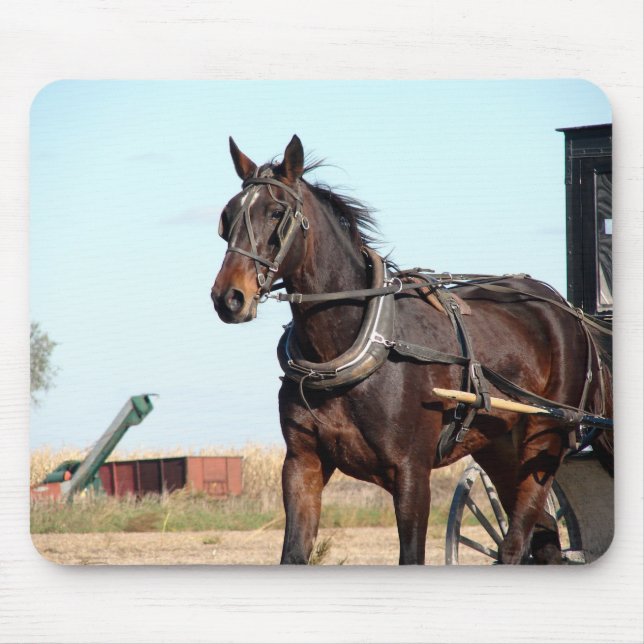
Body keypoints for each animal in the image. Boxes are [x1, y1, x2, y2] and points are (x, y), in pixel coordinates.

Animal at [211, 135, 612, 565]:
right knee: (544, 540)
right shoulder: (303, 464)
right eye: (228, 216)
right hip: (500, 447)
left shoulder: (411, 474)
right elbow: (294, 553)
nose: (228, 297)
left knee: (516, 542)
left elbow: (411, 553)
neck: (350, 351)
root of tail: (565, 309)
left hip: (545, 438)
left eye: (276, 212)